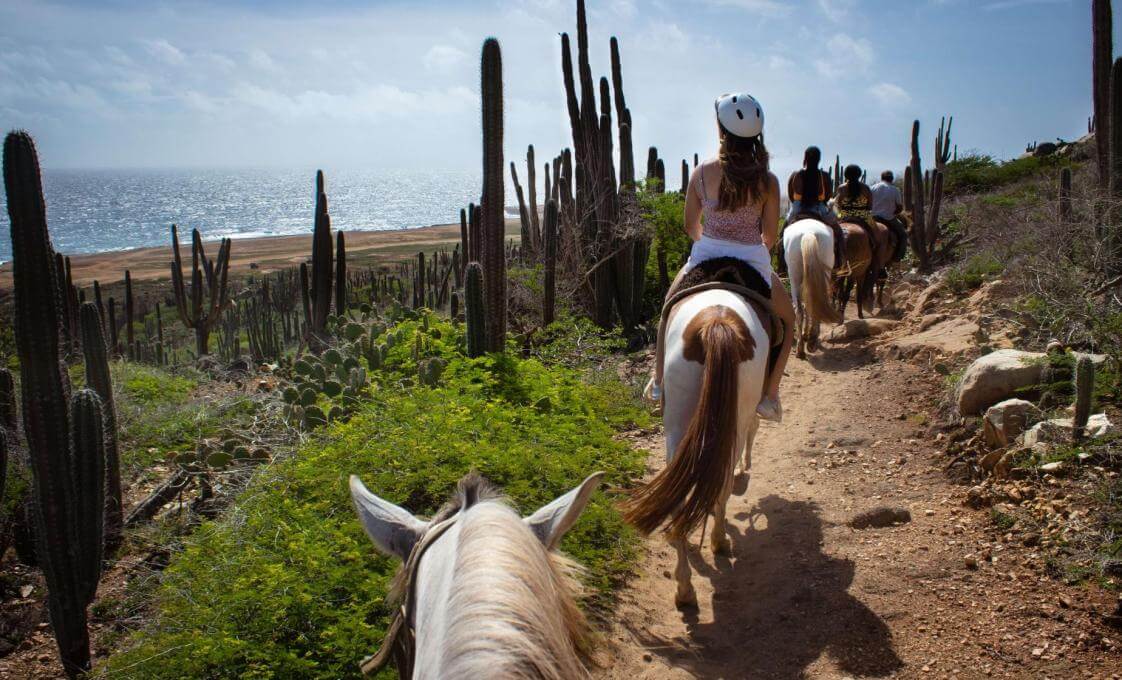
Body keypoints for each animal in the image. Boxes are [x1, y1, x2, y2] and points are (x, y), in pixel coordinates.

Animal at [623, 289, 771, 610]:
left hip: (678, 423)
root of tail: (716, 322)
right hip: (730, 422)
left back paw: (685, 587)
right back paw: (717, 542)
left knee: (682, 491)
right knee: (722, 483)